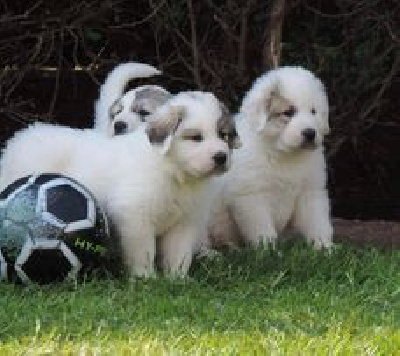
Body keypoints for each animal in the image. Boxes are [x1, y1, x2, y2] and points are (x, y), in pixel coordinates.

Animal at [0, 91, 241, 278]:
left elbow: (178, 252)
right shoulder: (135, 217)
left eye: (223, 135)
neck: (172, 170)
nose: (221, 157)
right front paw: (146, 278)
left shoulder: (184, 222)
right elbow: (143, 250)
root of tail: (18, 140)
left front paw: (177, 278)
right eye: (196, 137)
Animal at [211, 67, 332, 250]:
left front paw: (325, 247)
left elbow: (317, 221)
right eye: (288, 112)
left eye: (313, 111)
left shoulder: (310, 192)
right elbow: (262, 229)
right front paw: (268, 251)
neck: (284, 153)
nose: (310, 133)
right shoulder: (251, 196)